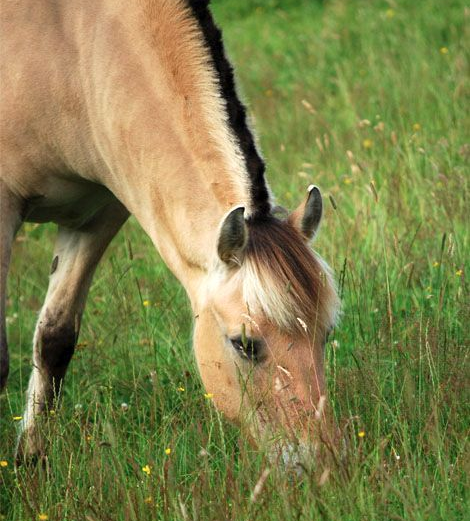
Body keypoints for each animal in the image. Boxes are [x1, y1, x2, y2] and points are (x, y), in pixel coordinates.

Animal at [0, 0, 338, 468]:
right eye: (245, 345)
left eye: (326, 334)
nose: (320, 463)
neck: (70, 50)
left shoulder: (99, 214)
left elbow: (55, 339)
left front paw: (30, 461)